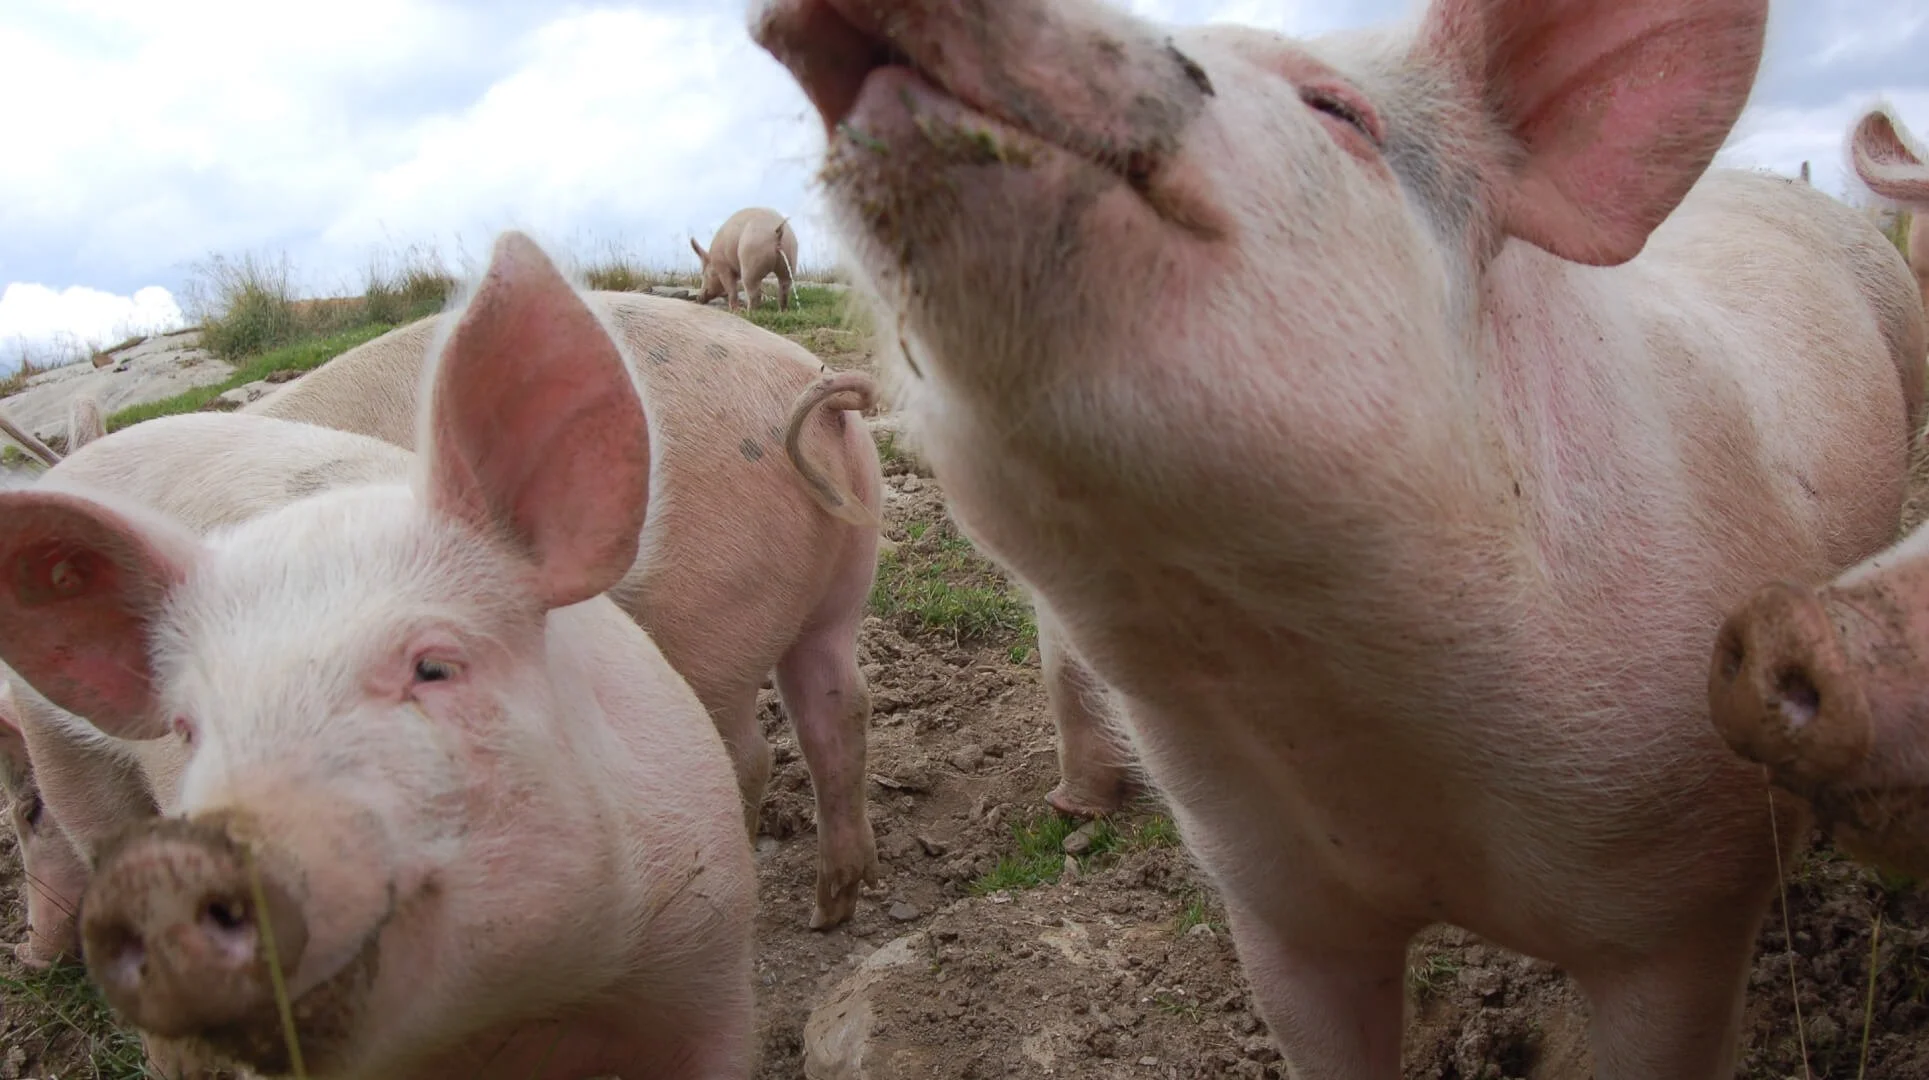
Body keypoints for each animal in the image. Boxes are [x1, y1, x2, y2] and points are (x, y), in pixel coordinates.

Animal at [0, 231, 758, 1079]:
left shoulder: (713, 958)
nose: (170, 865)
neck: (529, 1018)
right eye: (189, 728)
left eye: (434, 667)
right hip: (65, 758)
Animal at [240, 281, 888, 930]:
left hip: (712, 610)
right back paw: (830, 911)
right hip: (840, 584)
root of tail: (812, 391)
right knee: (839, 704)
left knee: (744, 753)